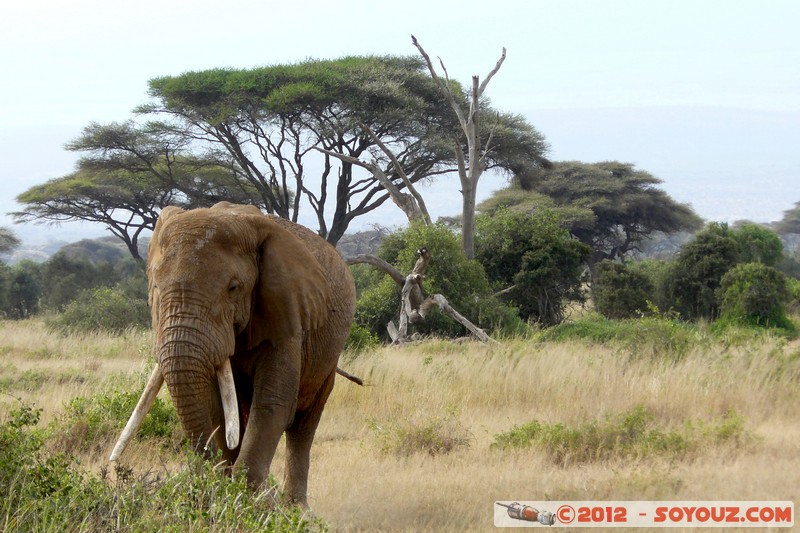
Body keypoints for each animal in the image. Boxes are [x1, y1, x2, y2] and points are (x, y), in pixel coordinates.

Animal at [109, 202, 356, 504]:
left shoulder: (287, 313)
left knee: (303, 426)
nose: (202, 486)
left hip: (328, 356)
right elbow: (217, 408)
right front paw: (229, 493)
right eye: (155, 287)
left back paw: (296, 508)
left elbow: (273, 403)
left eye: (233, 288)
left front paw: (245, 502)